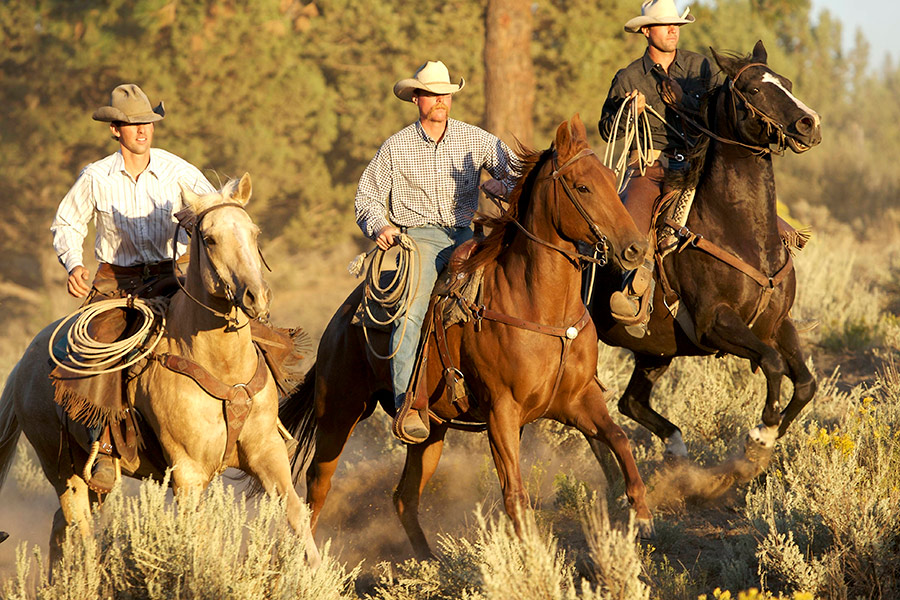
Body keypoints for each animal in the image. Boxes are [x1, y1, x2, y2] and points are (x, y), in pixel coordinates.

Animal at [0, 175, 320, 568]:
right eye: (209, 238)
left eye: (254, 232)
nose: (255, 297)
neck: (222, 366)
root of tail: (24, 362)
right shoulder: (188, 471)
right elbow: (199, 538)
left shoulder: (267, 452)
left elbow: (297, 514)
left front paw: (318, 576)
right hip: (61, 469)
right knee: (81, 527)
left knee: (63, 527)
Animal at [282, 115, 652, 560]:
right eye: (582, 186)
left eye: (611, 178)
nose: (635, 248)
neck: (539, 307)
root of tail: (339, 321)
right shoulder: (501, 412)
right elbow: (515, 493)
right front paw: (531, 556)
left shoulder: (579, 399)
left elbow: (620, 440)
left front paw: (642, 515)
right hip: (338, 413)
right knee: (316, 488)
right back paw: (308, 563)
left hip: (431, 433)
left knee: (404, 496)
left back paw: (429, 563)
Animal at [588, 41, 828, 464]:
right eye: (753, 89)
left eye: (786, 82)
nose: (809, 123)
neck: (740, 231)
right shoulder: (714, 322)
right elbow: (772, 362)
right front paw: (761, 432)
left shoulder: (778, 323)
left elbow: (804, 383)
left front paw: (768, 437)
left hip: (654, 352)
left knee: (629, 402)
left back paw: (676, 448)